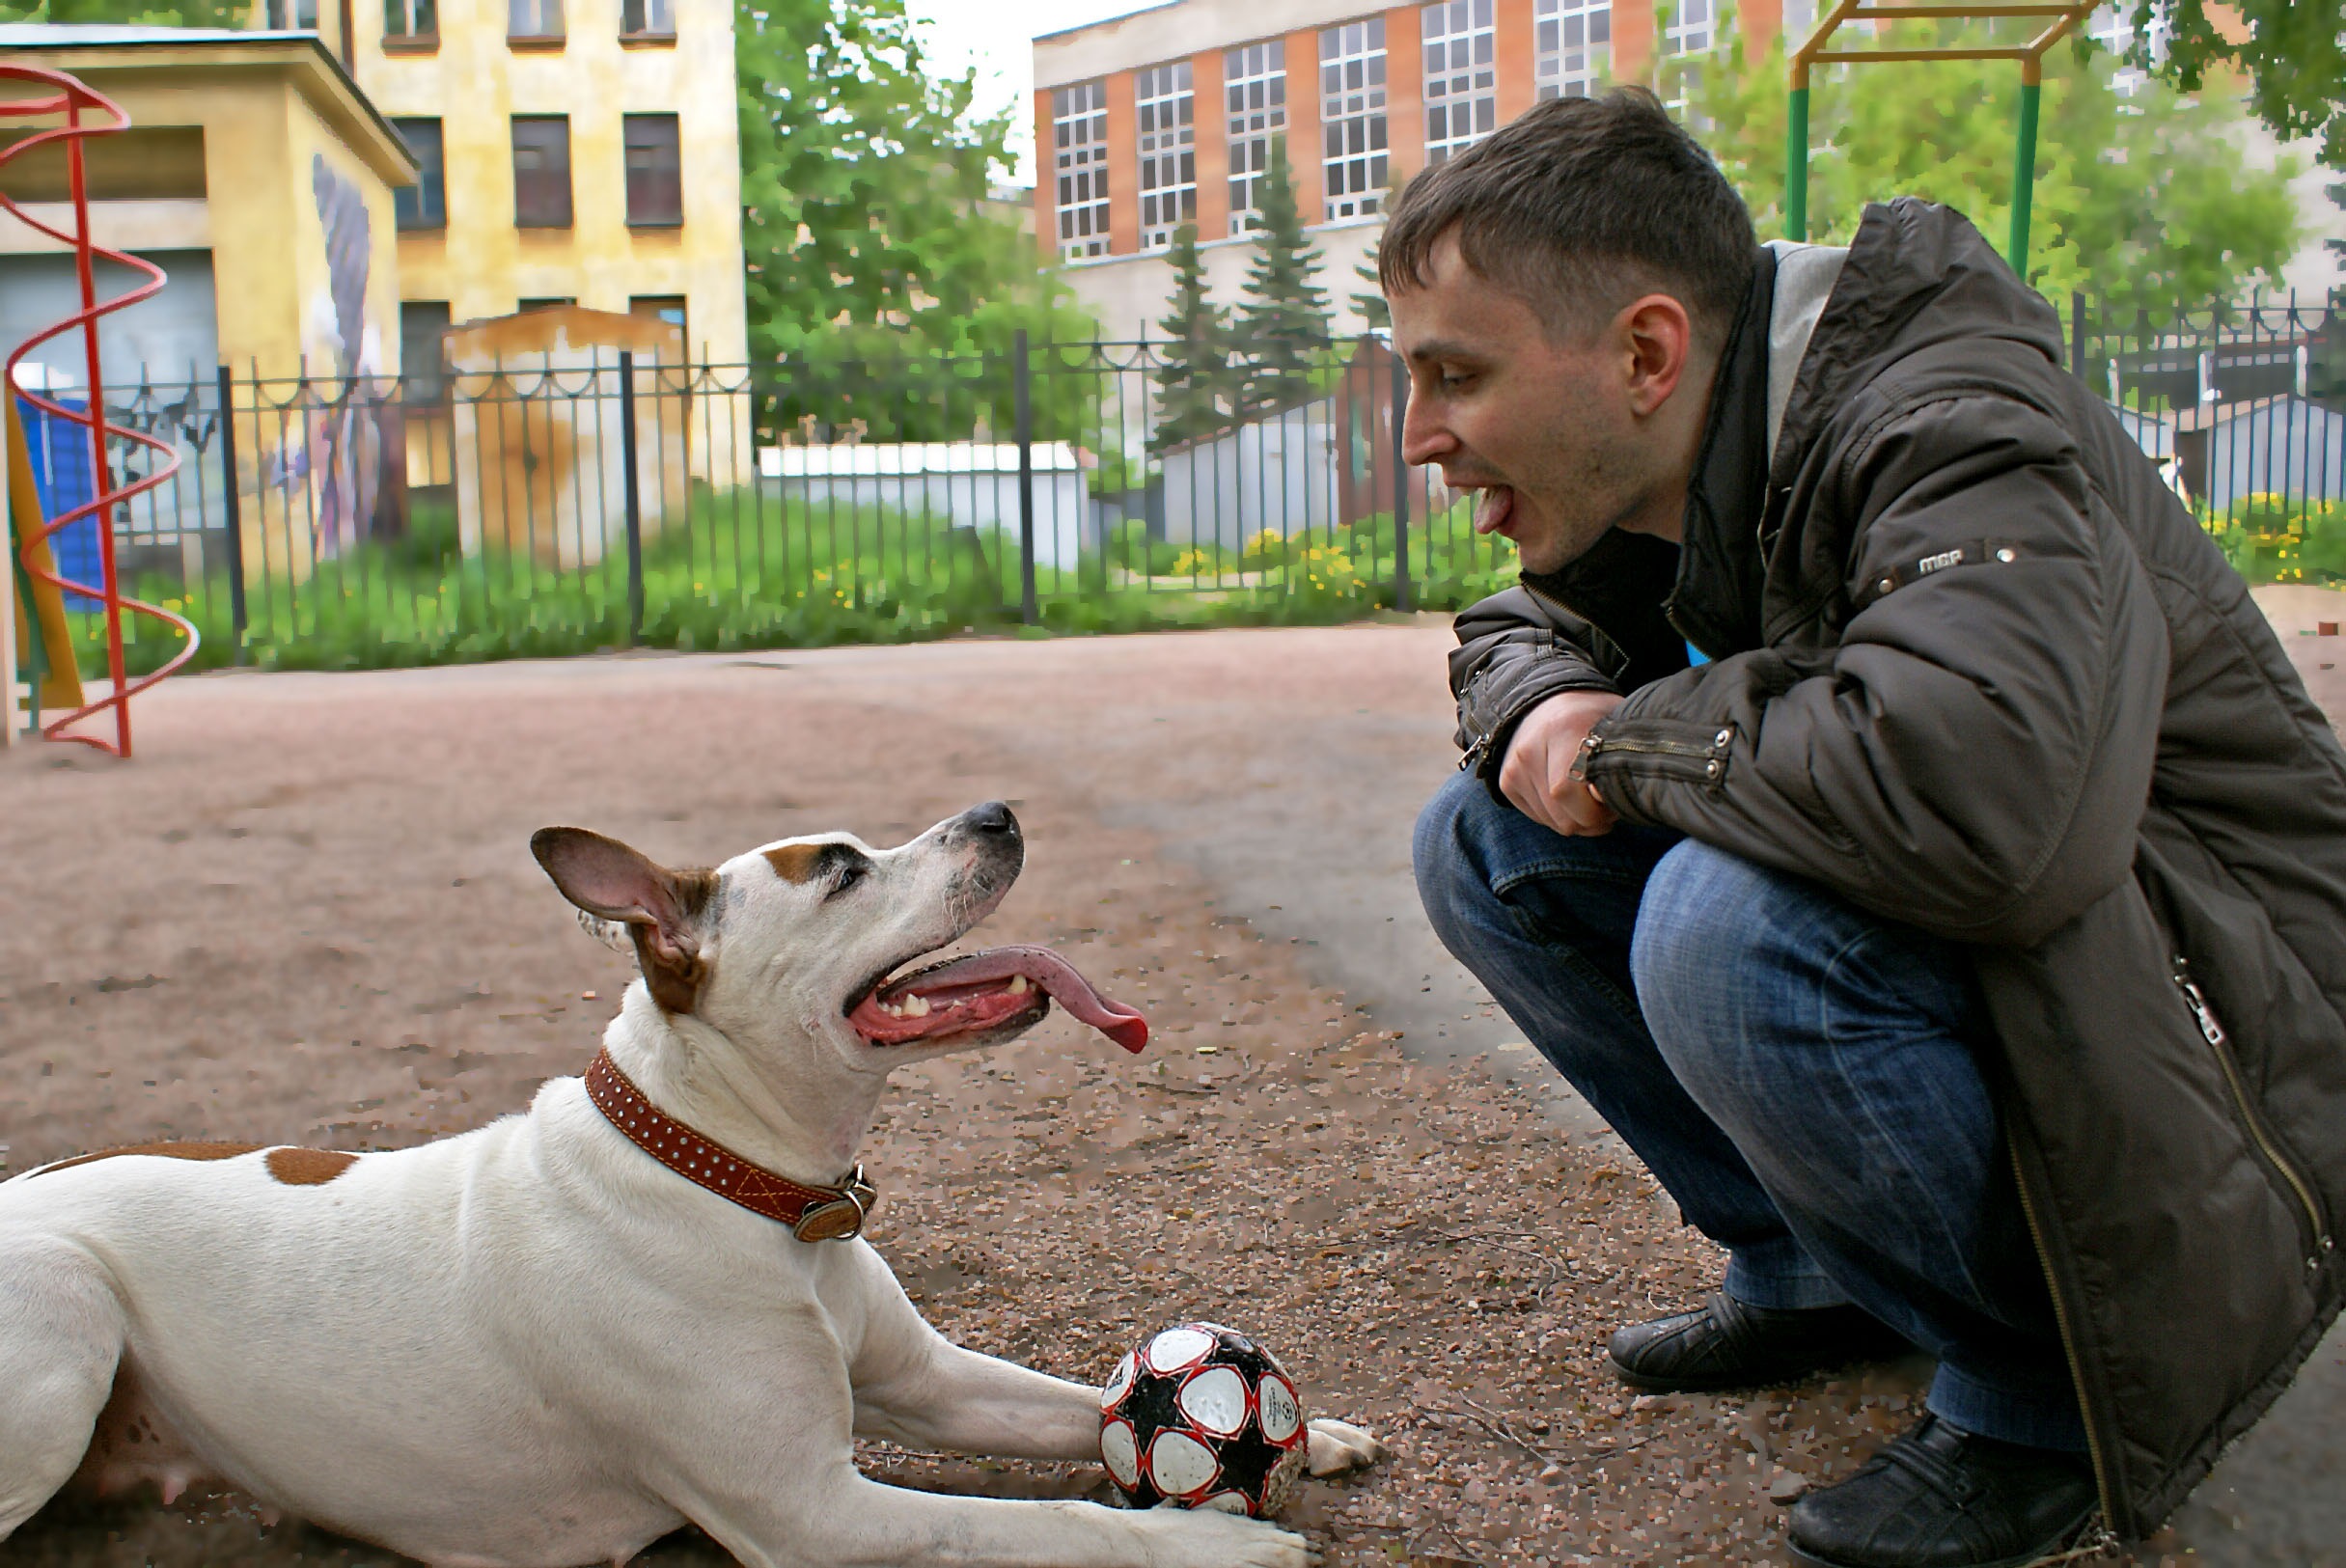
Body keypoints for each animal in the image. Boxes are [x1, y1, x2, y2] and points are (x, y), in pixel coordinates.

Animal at [0, 802, 1379, 1567]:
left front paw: (1309, 1429)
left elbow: (1077, 1400)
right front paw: (1197, 1538)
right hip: (66, 1316)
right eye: (840, 867)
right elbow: (1061, 1525)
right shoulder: (819, 1515)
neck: (739, 1182)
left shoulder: (925, 1381)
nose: (997, 811)